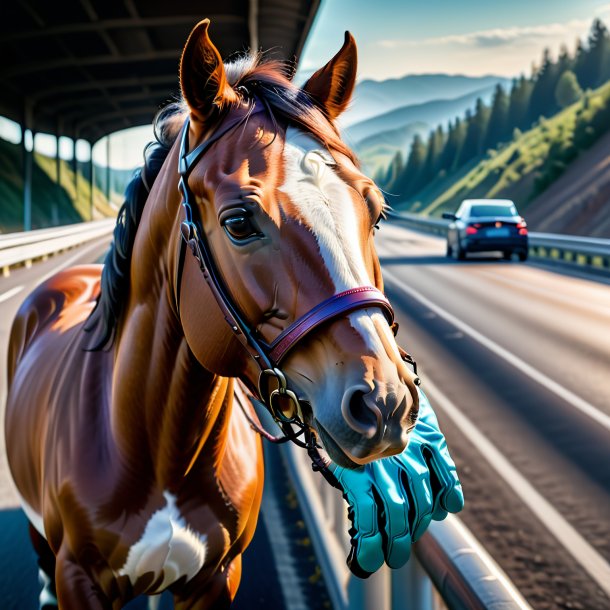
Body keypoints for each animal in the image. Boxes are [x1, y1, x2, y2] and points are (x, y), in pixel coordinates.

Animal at [5, 20, 418, 608]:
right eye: (239, 222)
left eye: (376, 211)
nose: (384, 401)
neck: (159, 451)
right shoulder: (77, 579)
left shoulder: (217, 578)